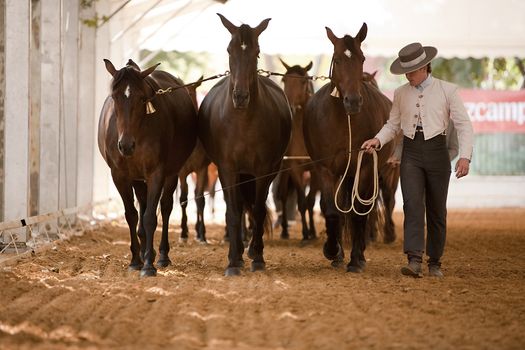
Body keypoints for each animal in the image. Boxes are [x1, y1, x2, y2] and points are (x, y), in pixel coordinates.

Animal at [98, 58, 196, 276]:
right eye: (114, 97)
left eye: (142, 99)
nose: (125, 145)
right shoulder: (120, 176)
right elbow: (132, 215)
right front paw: (136, 260)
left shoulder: (156, 173)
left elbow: (151, 216)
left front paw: (149, 265)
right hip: (137, 178)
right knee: (141, 205)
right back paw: (143, 252)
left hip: (171, 173)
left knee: (165, 207)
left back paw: (162, 255)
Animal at [199, 14, 292, 276]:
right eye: (229, 50)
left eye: (257, 51)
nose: (240, 96)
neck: (243, 121)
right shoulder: (227, 169)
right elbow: (233, 210)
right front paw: (233, 261)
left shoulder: (263, 170)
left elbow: (259, 210)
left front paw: (257, 257)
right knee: (239, 206)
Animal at [302, 24, 392, 272]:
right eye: (338, 59)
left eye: (362, 58)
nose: (353, 101)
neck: (344, 120)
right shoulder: (326, 169)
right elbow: (331, 211)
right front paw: (332, 250)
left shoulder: (365, 167)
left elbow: (358, 212)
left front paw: (356, 259)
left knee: (362, 210)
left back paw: (359, 253)